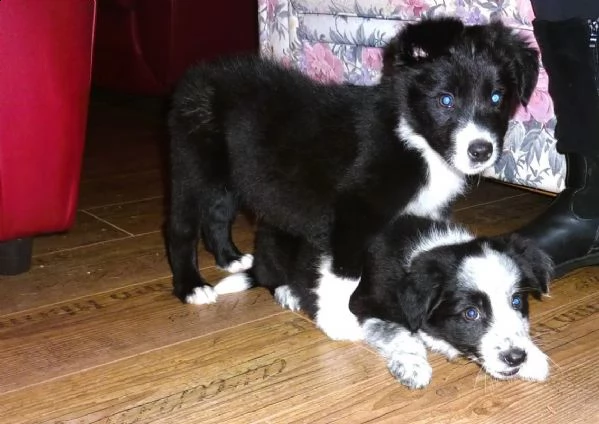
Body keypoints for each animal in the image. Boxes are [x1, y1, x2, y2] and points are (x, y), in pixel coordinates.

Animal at [165, 15, 540, 302]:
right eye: (445, 100)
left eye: (497, 98)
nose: (481, 150)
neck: (415, 138)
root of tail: (196, 76)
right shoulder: (354, 210)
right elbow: (345, 274)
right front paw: (341, 321)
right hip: (192, 167)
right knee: (181, 228)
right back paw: (192, 287)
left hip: (229, 175)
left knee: (216, 216)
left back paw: (230, 259)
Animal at [214, 217, 552, 390]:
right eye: (471, 314)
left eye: (517, 301)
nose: (515, 358)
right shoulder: (364, 306)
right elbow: (403, 336)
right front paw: (412, 367)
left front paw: (533, 358)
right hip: (275, 254)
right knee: (268, 277)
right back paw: (288, 292)